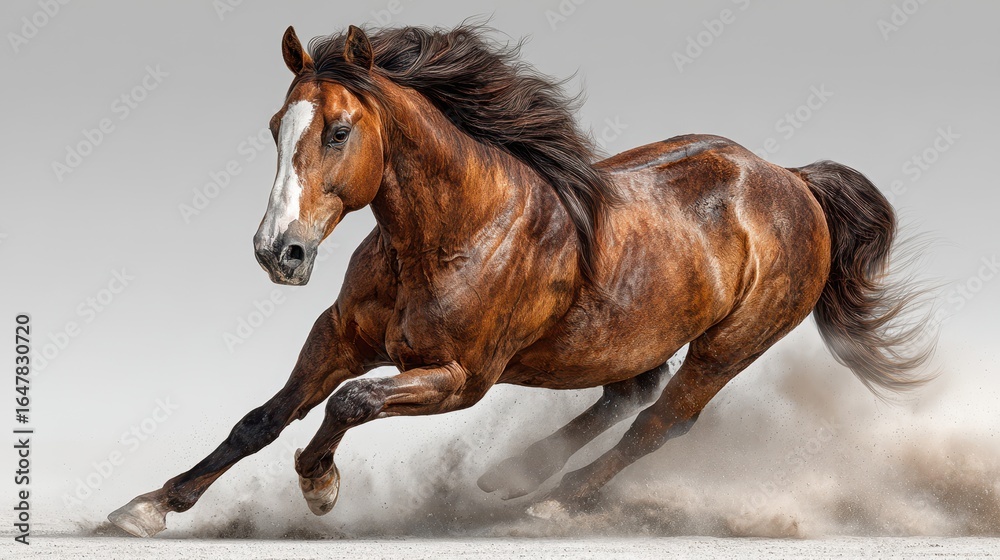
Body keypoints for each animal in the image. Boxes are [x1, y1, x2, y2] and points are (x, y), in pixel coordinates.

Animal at [109, 24, 934, 537]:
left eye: (338, 131)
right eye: (276, 128)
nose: (276, 251)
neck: (452, 234)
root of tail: (791, 181)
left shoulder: (461, 378)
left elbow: (351, 402)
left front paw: (319, 484)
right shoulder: (339, 334)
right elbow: (263, 417)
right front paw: (150, 506)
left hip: (729, 345)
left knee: (663, 418)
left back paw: (555, 503)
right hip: (639, 331)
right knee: (628, 394)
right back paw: (511, 476)